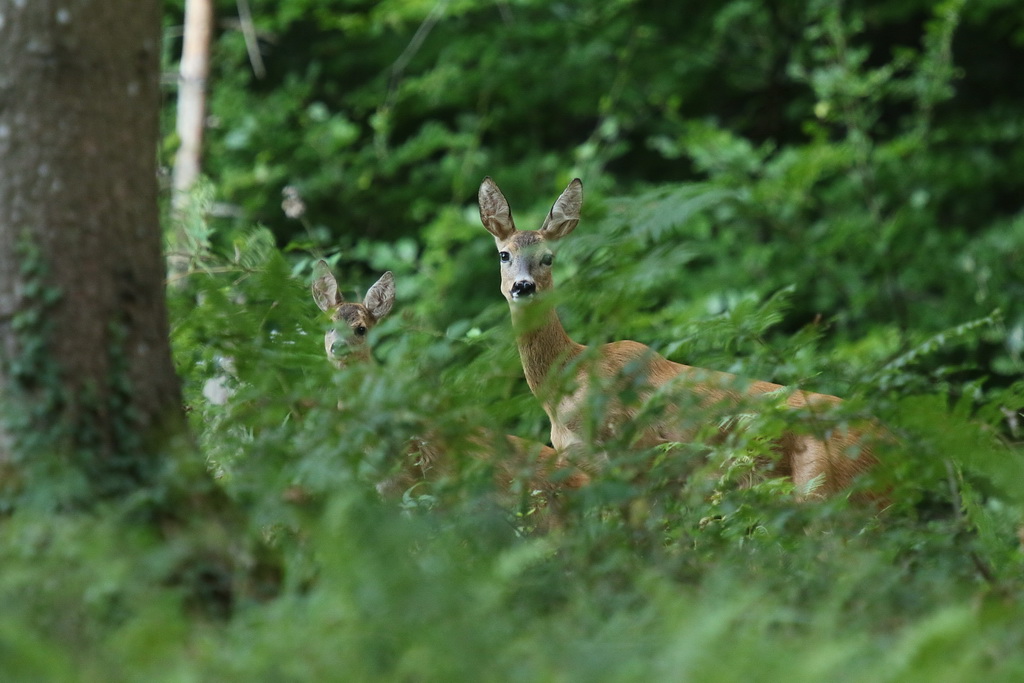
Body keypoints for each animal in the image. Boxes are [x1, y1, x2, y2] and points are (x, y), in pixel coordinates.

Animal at [475, 176, 876, 497]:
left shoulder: (636, 454)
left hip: (824, 483)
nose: (523, 286)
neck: (565, 387)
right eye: (504, 254)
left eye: (548, 258)